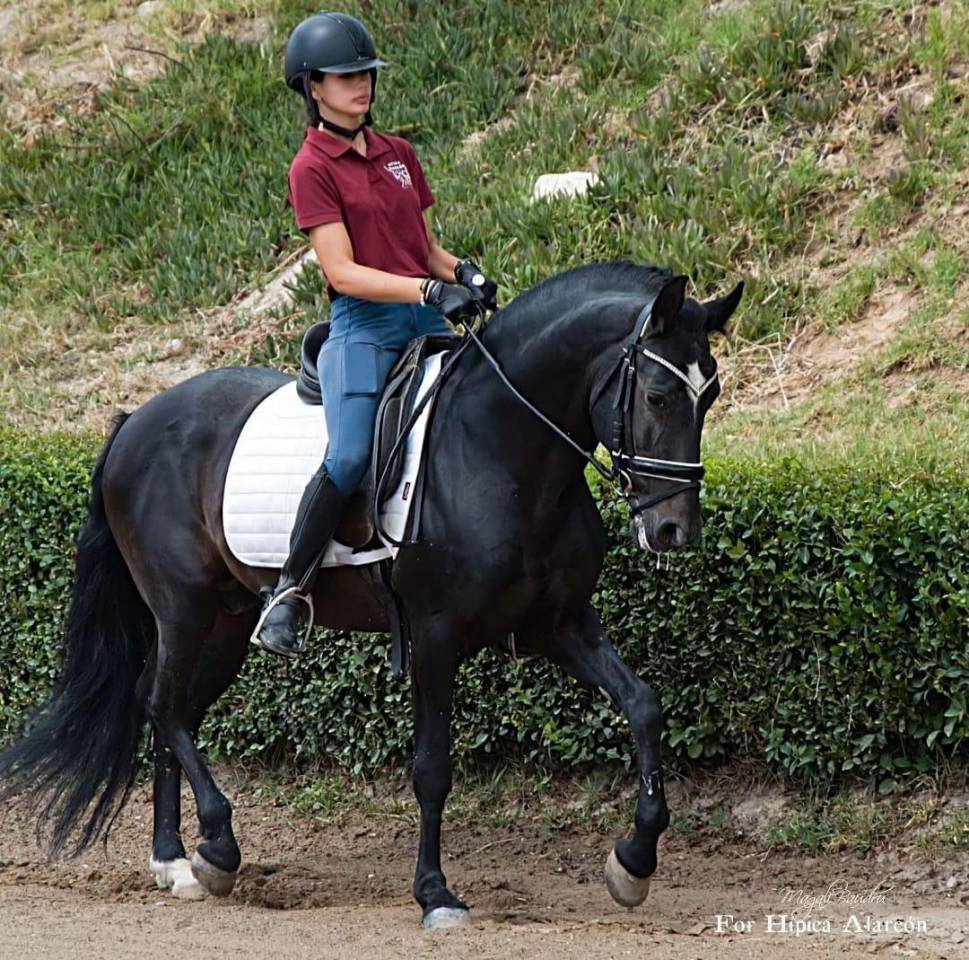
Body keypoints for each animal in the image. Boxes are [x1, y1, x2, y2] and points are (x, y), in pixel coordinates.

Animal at [0, 260, 741, 928]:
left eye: (708, 396)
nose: (673, 530)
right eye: (656, 396)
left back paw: (175, 859)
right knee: (160, 703)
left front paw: (634, 862)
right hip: (184, 607)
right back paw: (214, 848)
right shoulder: (436, 635)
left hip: (227, 621)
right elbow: (432, 766)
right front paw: (436, 895)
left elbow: (642, 706)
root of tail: (135, 420)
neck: (501, 446)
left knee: (171, 707)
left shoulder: (559, 623)